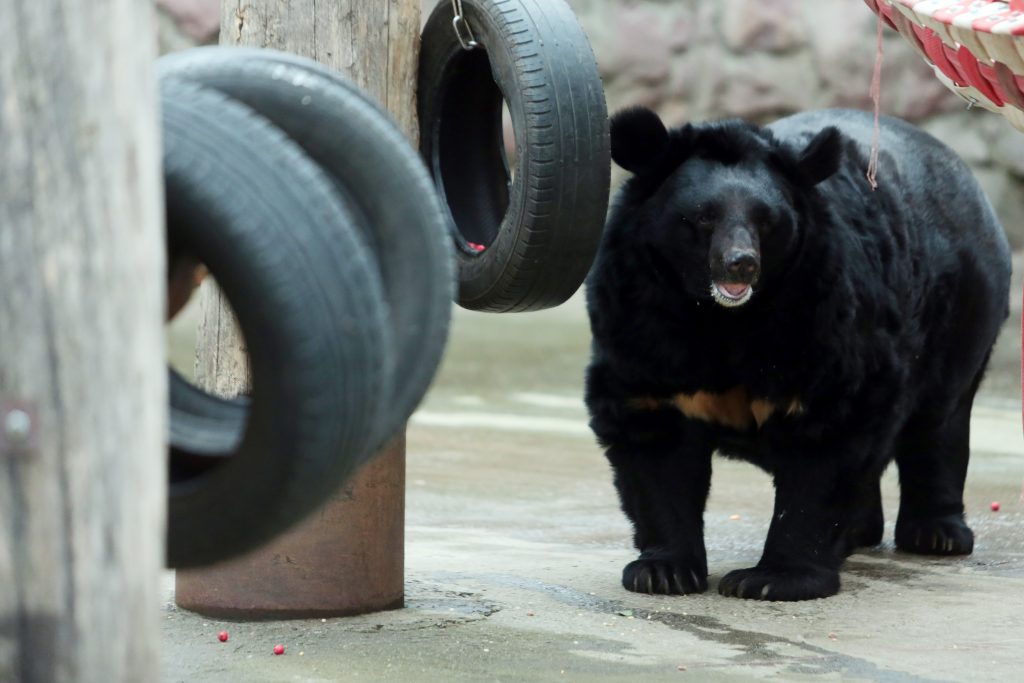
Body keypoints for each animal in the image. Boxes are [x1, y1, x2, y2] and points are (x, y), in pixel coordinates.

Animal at [589, 104, 1011, 602]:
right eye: (702, 217)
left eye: (766, 220)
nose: (741, 264)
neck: (720, 317)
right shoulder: (640, 319)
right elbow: (655, 439)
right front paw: (662, 572)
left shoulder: (820, 315)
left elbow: (828, 433)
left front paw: (771, 579)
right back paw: (861, 531)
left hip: (962, 312)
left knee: (939, 423)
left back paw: (937, 534)